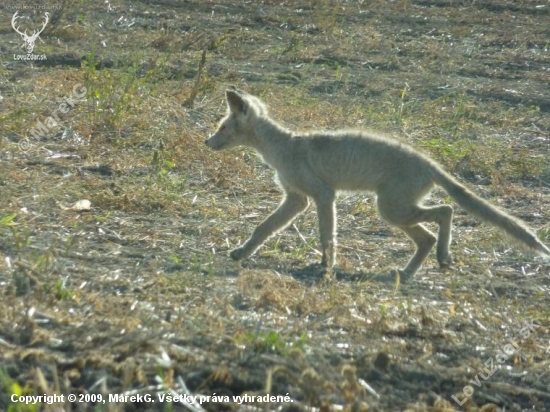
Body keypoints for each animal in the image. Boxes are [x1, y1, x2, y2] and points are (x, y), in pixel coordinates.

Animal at [204, 87, 550, 280]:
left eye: (221, 127)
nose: (206, 142)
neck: (283, 148)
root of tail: (431, 164)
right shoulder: (296, 199)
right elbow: (262, 228)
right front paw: (240, 253)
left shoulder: (322, 195)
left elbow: (326, 236)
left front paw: (326, 267)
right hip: (395, 211)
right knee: (427, 235)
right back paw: (409, 273)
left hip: (391, 210)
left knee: (446, 211)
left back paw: (442, 257)